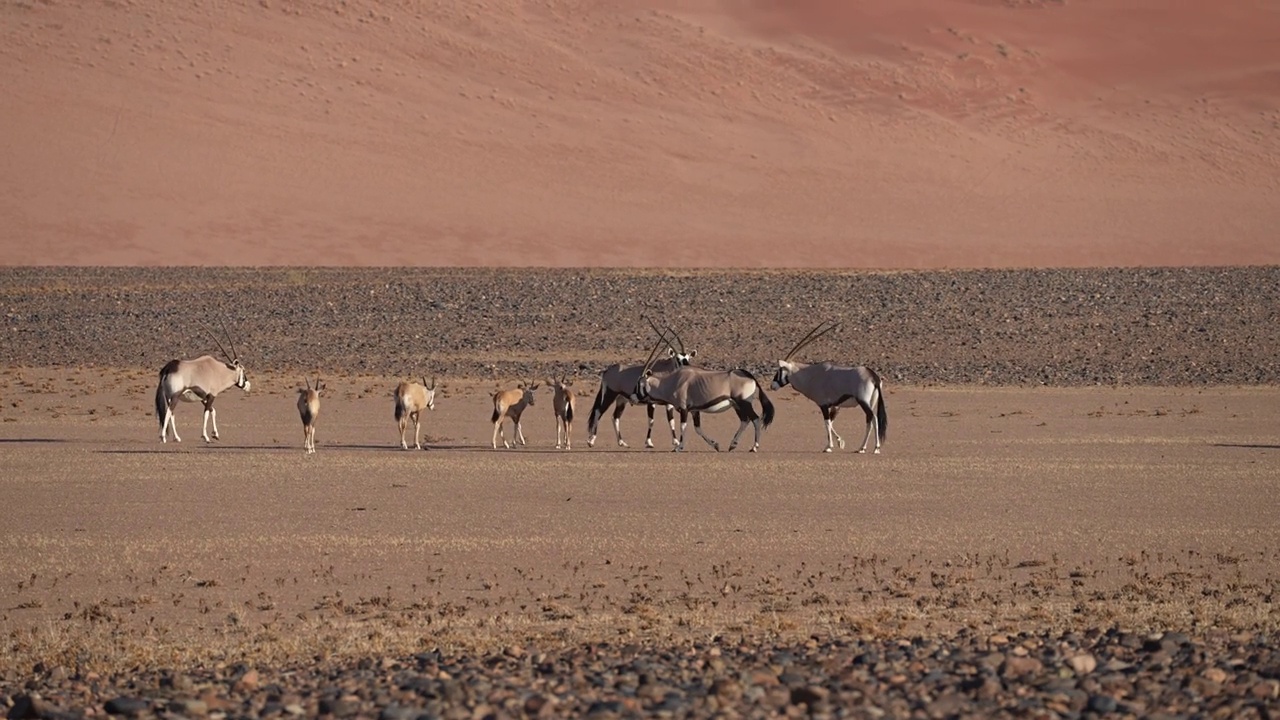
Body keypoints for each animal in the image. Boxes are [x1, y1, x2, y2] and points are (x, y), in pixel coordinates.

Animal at [768, 317, 890, 450]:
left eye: (779, 370)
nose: (772, 386)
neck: (811, 375)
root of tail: (873, 376)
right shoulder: (835, 406)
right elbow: (831, 423)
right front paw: (840, 442)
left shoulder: (823, 405)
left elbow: (827, 423)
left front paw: (829, 446)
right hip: (871, 402)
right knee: (870, 420)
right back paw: (862, 448)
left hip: (863, 402)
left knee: (874, 418)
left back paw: (874, 448)